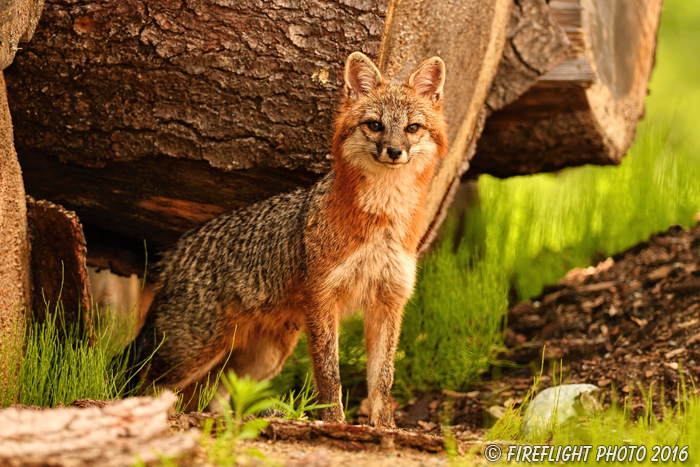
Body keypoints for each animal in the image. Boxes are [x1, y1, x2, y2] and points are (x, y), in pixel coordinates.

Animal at [131, 51, 448, 428]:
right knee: (147, 386)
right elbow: (329, 376)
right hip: (193, 353)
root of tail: (176, 251)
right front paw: (335, 423)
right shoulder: (323, 298)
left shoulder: (388, 301)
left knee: (215, 396)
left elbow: (382, 380)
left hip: (261, 361)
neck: (383, 219)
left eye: (412, 128)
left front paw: (385, 428)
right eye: (375, 125)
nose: (394, 150)